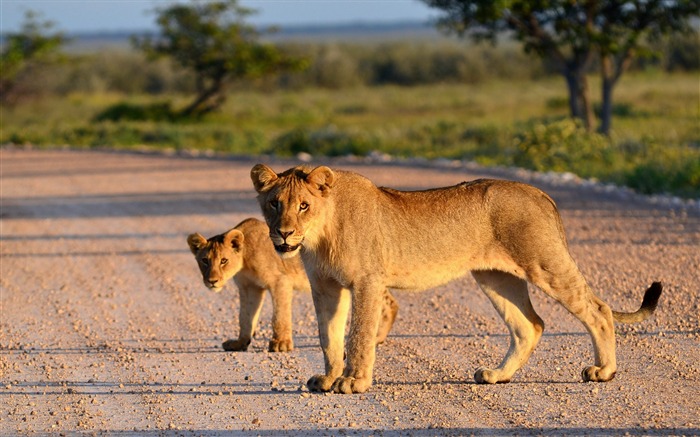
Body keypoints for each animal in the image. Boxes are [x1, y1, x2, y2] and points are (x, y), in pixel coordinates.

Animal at [252, 163, 660, 392]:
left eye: (304, 205)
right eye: (274, 204)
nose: (284, 234)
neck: (321, 234)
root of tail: (540, 192)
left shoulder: (367, 281)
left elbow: (360, 335)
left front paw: (353, 382)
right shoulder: (326, 287)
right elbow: (329, 337)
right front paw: (328, 379)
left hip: (544, 262)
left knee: (598, 310)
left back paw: (603, 371)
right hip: (496, 278)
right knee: (529, 325)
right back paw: (497, 375)